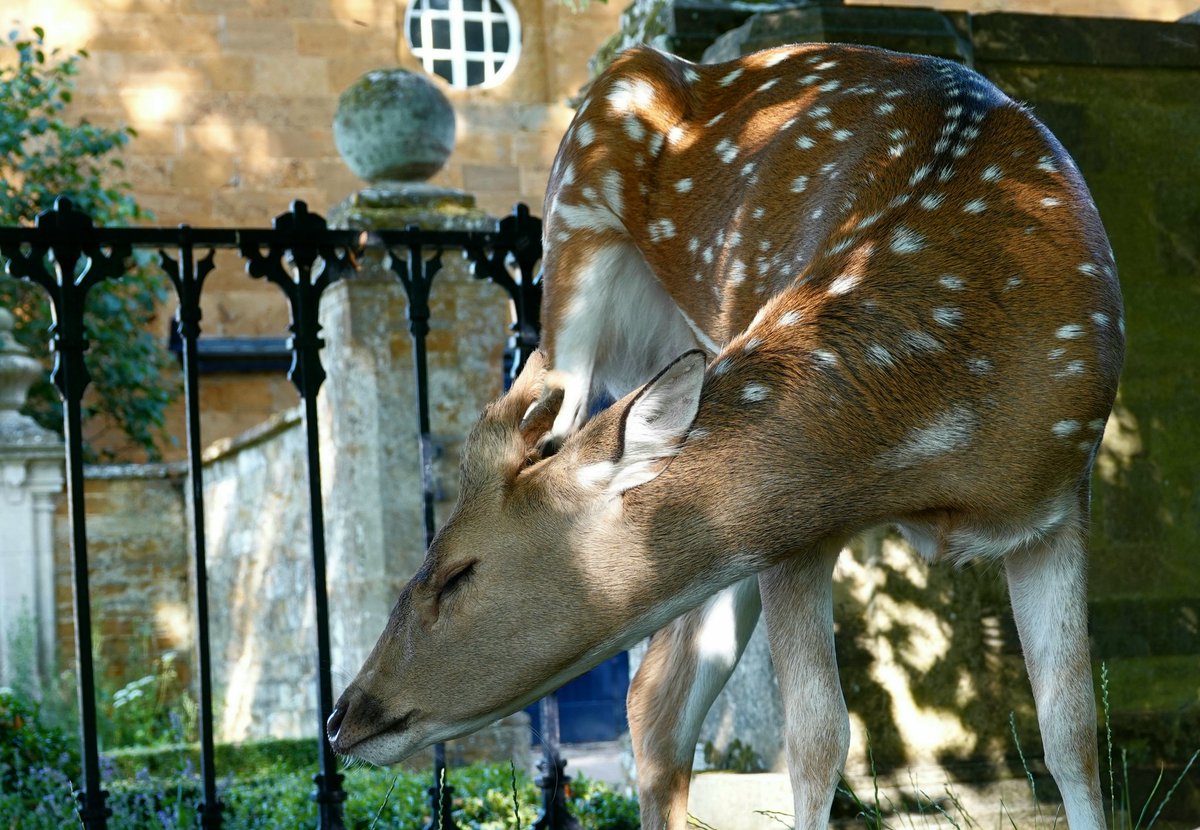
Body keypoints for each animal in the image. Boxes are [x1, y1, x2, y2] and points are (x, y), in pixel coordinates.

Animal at [327, 43, 1124, 830]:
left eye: (460, 572)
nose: (343, 716)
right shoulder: (797, 537)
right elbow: (819, 739)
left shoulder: (1059, 502)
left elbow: (1073, 733)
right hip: (573, 260)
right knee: (659, 695)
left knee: (658, 696)